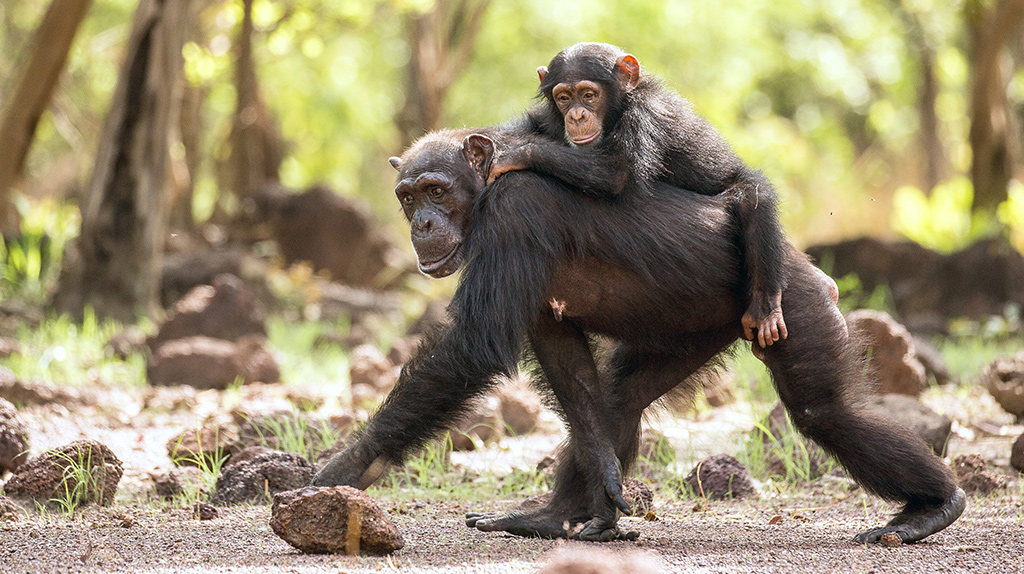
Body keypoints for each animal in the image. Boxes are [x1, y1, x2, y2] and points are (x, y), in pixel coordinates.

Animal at [313, 130, 966, 544]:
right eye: (407, 196)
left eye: (437, 190)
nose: (422, 222)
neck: (490, 187)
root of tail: (811, 273)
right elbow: (563, 357)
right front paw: (601, 486)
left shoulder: (516, 216)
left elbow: (475, 343)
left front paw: (348, 466)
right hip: (689, 334)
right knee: (617, 399)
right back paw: (552, 517)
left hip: (794, 308)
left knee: (824, 412)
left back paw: (933, 508)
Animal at [487, 42, 782, 347]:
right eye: (564, 98)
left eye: (589, 95)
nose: (576, 116)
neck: (619, 108)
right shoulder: (550, 119)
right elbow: (529, 125)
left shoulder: (646, 115)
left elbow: (616, 173)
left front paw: (515, 154)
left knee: (753, 197)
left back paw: (765, 307)